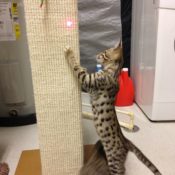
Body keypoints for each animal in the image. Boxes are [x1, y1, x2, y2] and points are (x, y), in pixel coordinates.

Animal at [64, 41, 161, 174]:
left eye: (104, 52)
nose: (97, 54)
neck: (113, 71)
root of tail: (126, 140)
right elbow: (80, 68)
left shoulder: (87, 80)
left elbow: (76, 67)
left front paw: (69, 52)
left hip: (114, 161)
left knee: (121, 170)